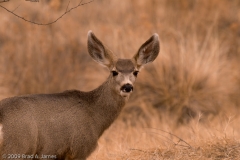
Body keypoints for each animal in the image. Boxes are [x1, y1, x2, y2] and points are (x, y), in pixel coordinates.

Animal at [0, 30, 160, 159]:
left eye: (136, 72)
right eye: (114, 71)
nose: (127, 86)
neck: (94, 114)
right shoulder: (80, 148)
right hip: (18, 146)